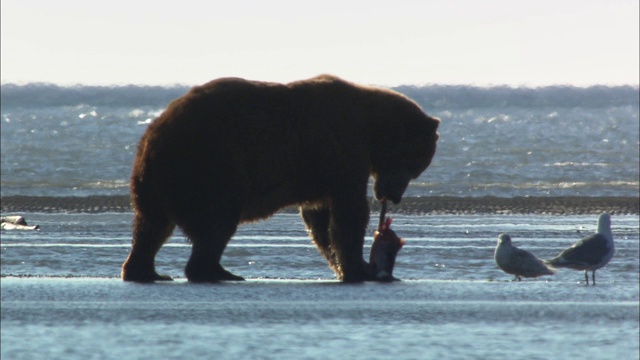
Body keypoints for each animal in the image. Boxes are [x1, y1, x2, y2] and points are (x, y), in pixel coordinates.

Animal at [120, 74, 440, 284]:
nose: (394, 196)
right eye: (415, 165)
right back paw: (216, 271)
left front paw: (349, 264)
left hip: (157, 180)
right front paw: (358, 268)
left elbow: (320, 219)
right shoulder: (339, 148)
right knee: (217, 221)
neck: (371, 128)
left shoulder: (318, 172)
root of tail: (152, 136)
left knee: (151, 226)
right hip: (209, 165)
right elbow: (348, 211)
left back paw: (146, 270)